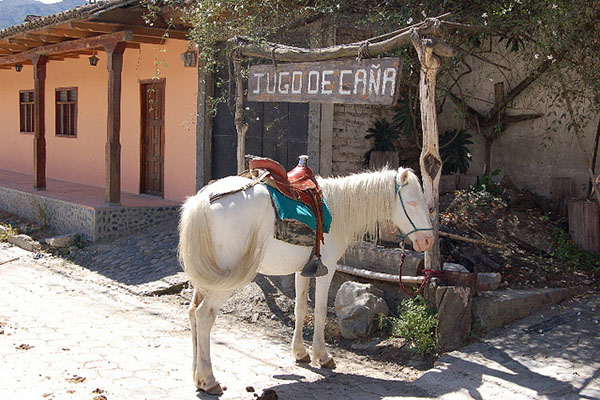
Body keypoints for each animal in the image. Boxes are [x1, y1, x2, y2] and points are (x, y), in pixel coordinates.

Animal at [177, 166, 432, 394]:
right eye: (412, 203)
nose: (428, 241)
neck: (336, 210)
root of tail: (205, 200)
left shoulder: (302, 271)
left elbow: (300, 309)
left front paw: (300, 353)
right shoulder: (326, 270)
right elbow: (319, 311)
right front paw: (323, 356)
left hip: (208, 277)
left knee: (192, 313)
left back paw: (197, 376)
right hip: (225, 281)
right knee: (204, 315)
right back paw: (209, 380)